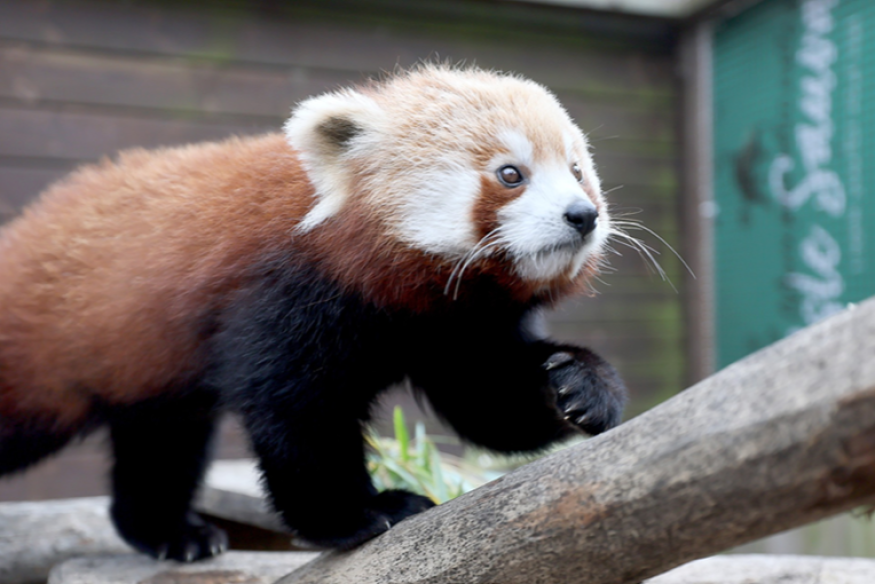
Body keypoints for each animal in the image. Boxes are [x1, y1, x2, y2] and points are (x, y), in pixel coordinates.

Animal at [0, 65, 626, 561]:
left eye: (576, 170)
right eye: (510, 174)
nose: (583, 215)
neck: (408, 302)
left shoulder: (457, 327)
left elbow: (489, 405)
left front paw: (580, 385)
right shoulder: (286, 295)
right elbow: (298, 414)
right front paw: (359, 514)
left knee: (160, 444)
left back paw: (170, 533)